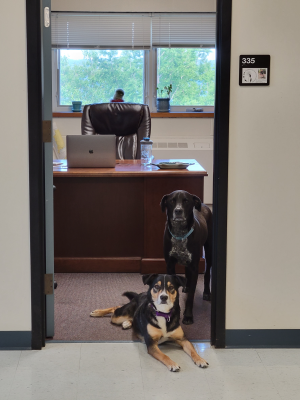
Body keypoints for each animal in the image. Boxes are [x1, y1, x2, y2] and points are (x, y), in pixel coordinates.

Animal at [161, 190, 212, 324]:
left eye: (186, 201)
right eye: (172, 200)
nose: (178, 211)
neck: (180, 234)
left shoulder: (194, 267)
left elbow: (191, 297)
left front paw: (188, 316)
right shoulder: (170, 266)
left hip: (209, 250)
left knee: (207, 273)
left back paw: (206, 292)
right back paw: (187, 287)